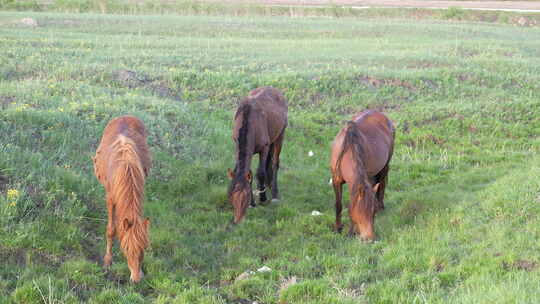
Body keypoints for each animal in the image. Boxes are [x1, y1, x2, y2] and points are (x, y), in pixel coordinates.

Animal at [93, 116, 152, 282]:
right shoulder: (110, 199)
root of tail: (126, 116)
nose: (136, 279)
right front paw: (107, 261)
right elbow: (111, 230)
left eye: (144, 248)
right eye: (125, 248)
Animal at [227, 85, 288, 223]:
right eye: (231, 196)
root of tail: (274, 89)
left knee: (275, 163)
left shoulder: (264, 147)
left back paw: (274, 193)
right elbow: (248, 172)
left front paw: (263, 198)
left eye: (245, 197)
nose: (238, 219)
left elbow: (260, 173)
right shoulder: (237, 146)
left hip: (280, 136)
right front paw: (253, 203)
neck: (249, 119)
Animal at [330, 110, 392, 241]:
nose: (369, 239)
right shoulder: (336, 180)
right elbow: (338, 205)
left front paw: (351, 232)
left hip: (385, 165)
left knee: (382, 183)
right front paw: (338, 228)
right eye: (359, 212)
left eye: (373, 212)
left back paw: (381, 206)